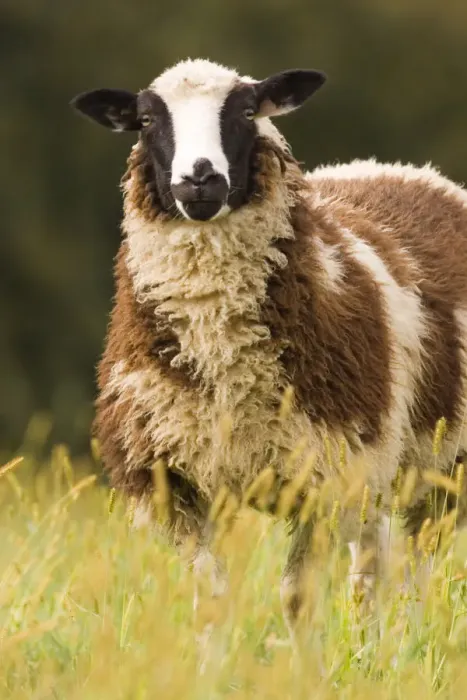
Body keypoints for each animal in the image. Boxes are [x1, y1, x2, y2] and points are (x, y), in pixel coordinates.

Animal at [71, 58, 467, 625]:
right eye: (146, 120)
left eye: (246, 111)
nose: (200, 177)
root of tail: (402, 169)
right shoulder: (181, 483)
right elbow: (213, 600)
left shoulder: (323, 471)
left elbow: (298, 600)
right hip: (379, 463)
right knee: (372, 567)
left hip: (438, 466)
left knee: (410, 573)